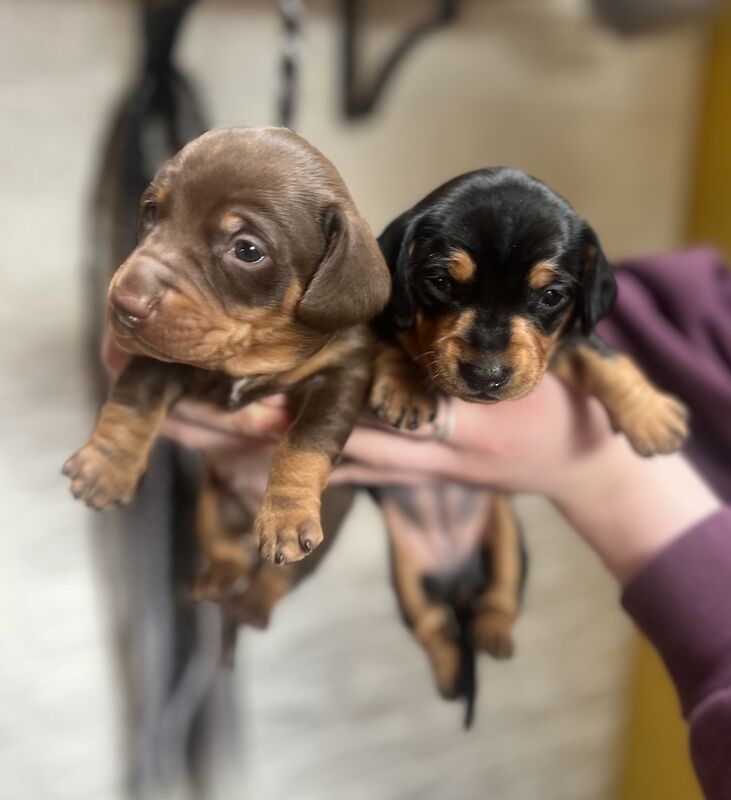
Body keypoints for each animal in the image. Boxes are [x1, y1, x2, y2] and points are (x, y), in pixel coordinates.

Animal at [66, 126, 392, 600]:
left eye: (247, 250)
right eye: (152, 210)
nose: (124, 304)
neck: (249, 356)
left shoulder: (343, 373)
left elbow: (308, 440)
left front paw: (286, 512)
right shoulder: (161, 358)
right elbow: (133, 401)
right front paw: (106, 465)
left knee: (275, 580)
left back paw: (252, 604)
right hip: (210, 504)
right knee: (226, 550)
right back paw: (218, 579)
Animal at [372, 166, 692, 716]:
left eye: (550, 296)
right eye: (440, 282)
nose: (487, 375)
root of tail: (458, 581)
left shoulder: (565, 344)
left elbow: (603, 355)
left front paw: (651, 415)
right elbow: (385, 336)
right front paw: (404, 385)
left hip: (507, 541)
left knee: (499, 597)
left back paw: (494, 634)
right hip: (407, 575)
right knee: (433, 626)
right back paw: (451, 675)